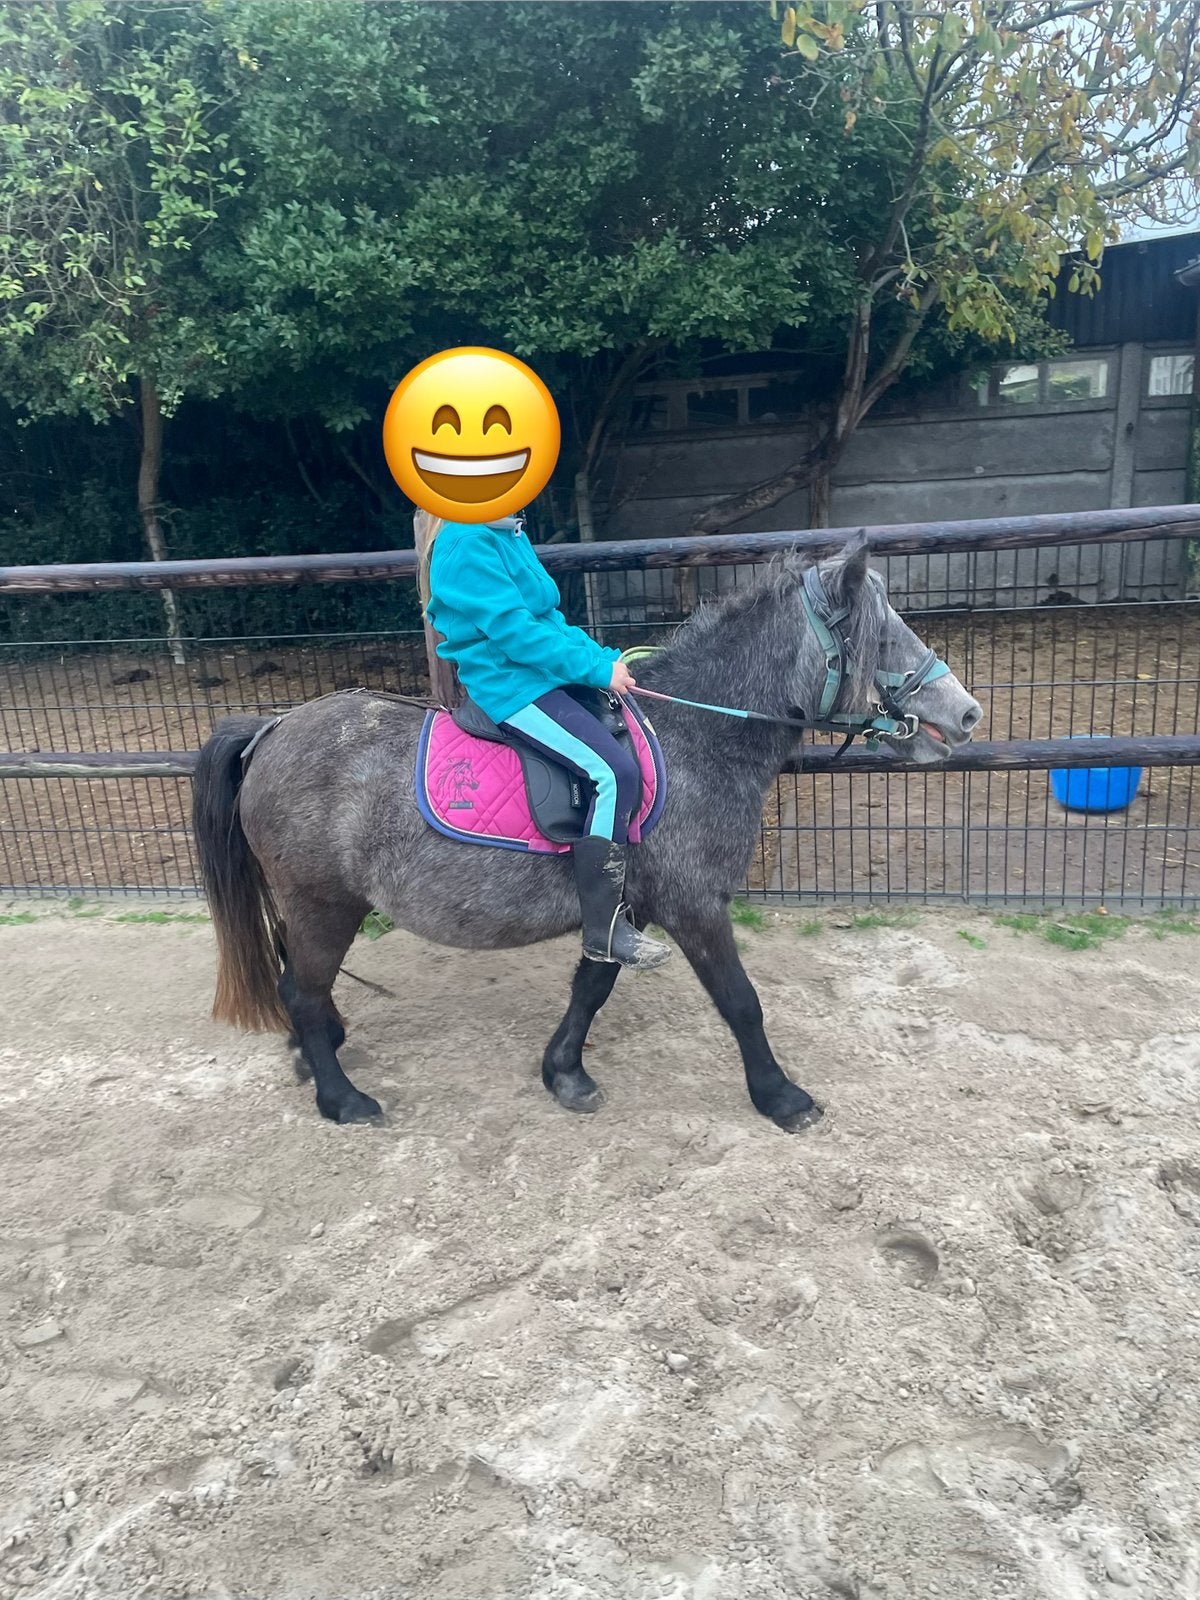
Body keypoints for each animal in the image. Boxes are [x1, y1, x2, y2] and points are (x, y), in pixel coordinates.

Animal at [191, 539, 982, 1130]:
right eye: (882, 633)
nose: (968, 714)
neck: (695, 736)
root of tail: (270, 731)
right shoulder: (694, 905)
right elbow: (739, 1000)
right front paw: (782, 1098)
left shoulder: (625, 906)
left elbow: (593, 985)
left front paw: (564, 1074)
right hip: (323, 901)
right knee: (300, 989)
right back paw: (343, 1099)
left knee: (302, 985)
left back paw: (315, 1053)